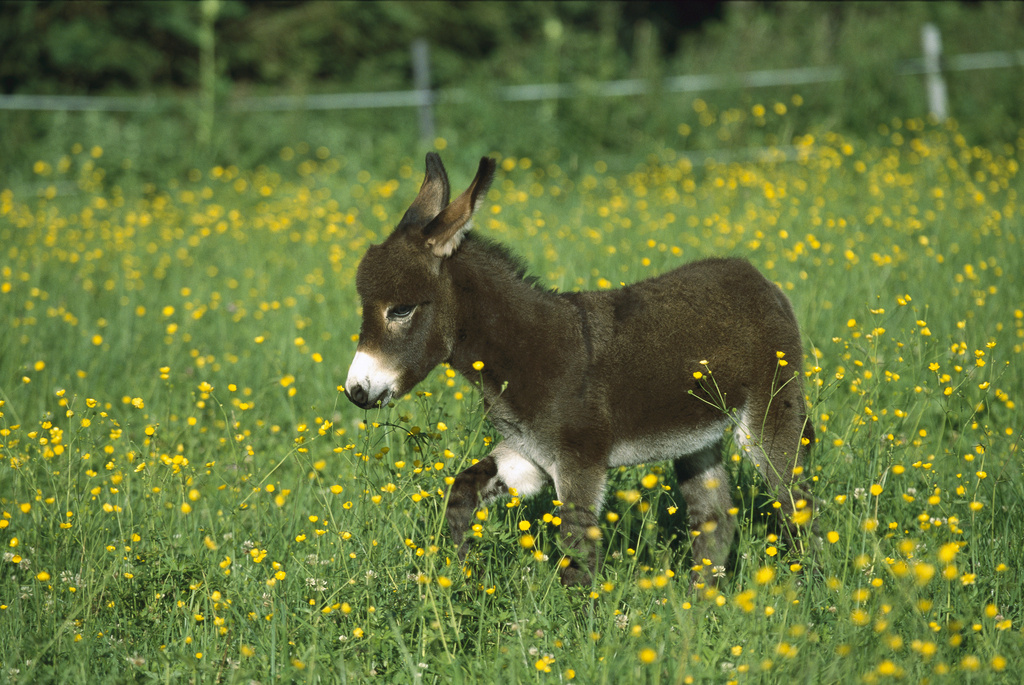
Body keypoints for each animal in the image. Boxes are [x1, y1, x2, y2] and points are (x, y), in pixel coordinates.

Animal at [344, 152, 815, 585]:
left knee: (795, 502)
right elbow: (461, 493)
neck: (524, 352)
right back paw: (703, 603)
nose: (356, 392)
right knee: (715, 519)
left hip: (770, 413)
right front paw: (456, 578)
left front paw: (578, 621)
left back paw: (805, 585)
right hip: (696, 437)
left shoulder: (579, 461)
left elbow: (577, 551)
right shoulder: (529, 453)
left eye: (401, 310)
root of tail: (758, 278)